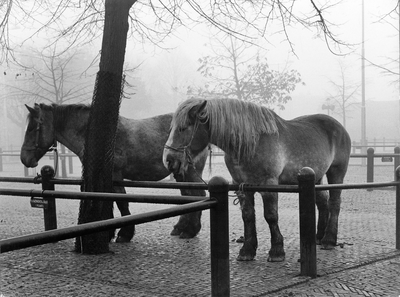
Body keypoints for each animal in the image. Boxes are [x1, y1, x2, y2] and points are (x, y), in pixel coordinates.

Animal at [21, 103, 209, 242]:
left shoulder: (115, 175)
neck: (98, 136)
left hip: (188, 172)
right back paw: (182, 227)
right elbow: (108, 200)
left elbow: (121, 202)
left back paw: (190, 230)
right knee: (189, 196)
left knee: (198, 195)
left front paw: (125, 233)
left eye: (31, 128)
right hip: (180, 173)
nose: (25, 158)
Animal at [162, 98, 350, 260]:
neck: (251, 143)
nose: (169, 160)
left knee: (334, 203)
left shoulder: (269, 184)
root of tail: (340, 127)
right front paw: (247, 250)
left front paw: (277, 251)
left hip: (336, 172)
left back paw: (329, 240)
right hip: (315, 176)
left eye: (183, 128)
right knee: (322, 202)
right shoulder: (241, 186)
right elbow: (248, 216)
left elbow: (271, 216)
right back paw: (318, 237)